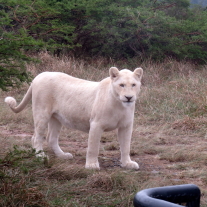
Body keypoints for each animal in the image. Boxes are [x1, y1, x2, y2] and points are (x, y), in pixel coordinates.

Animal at [5, 66, 143, 170]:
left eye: (134, 85)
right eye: (122, 85)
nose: (129, 97)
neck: (120, 105)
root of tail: (39, 76)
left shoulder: (126, 126)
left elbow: (126, 146)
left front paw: (127, 163)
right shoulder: (96, 124)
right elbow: (93, 147)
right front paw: (91, 165)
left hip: (56, 118)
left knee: (51, 138)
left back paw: (63, 155)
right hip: (42, 113)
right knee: (36, 137)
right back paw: (41, 157)